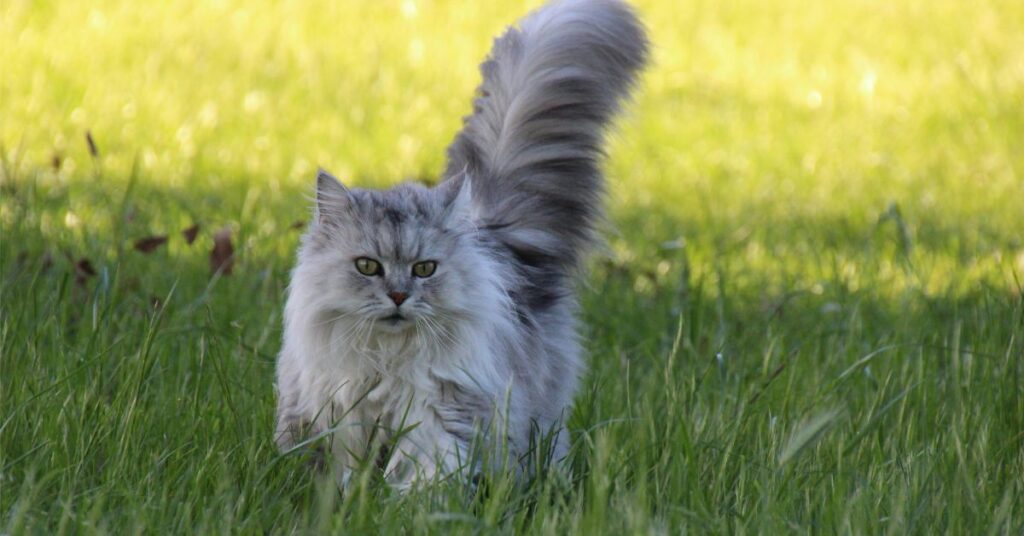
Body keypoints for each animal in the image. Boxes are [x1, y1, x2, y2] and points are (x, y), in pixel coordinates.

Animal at [276, 0, 647, 487]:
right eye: (368, 266)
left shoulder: (440, 413)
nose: (399, 296)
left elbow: (428, 474)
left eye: (425, 269)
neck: (387, 360)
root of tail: (492, 231)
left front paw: (412, 503)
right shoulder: (333, 413)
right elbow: (336, 476)